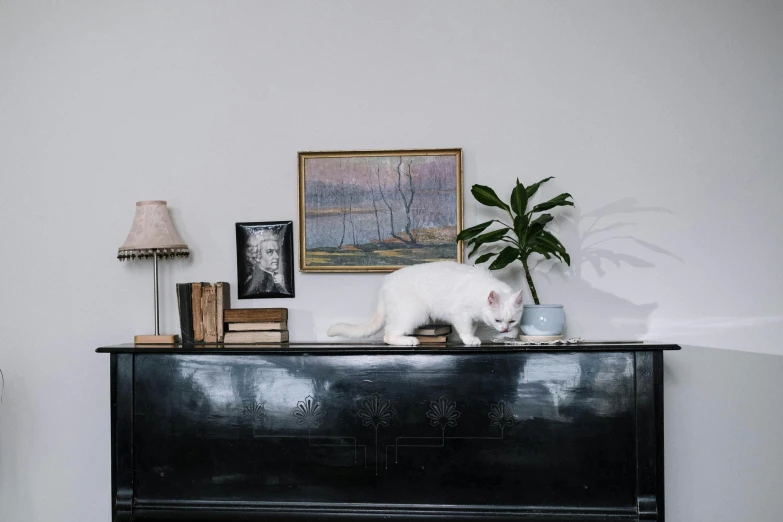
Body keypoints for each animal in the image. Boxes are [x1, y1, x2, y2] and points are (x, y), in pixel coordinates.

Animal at [328, 260, 524, 346]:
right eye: (498, 320)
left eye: (512, 321)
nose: (505, 330)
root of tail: (385, 283)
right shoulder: (460, 314)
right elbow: (465, 329)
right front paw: (470, 340)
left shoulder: (473, 318)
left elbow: (472, 327)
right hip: (414, 312)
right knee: (388, 334)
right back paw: (408, 340)